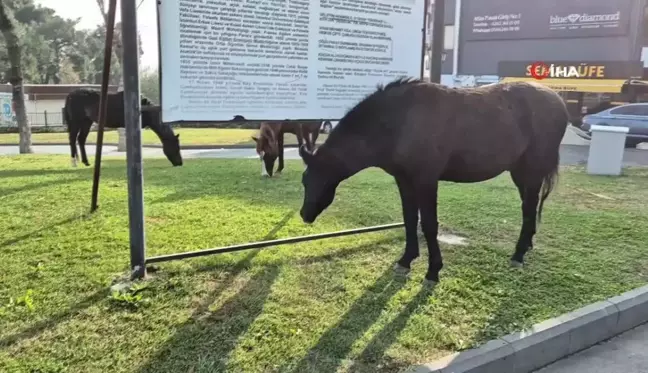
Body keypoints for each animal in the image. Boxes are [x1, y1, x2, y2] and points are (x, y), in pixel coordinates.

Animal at [298, 77, 568, 288]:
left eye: (315, 179)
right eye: (304, 181)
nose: (305, 214)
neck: (400, 121)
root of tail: (558, 100)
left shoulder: (426, 180)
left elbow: (428, 224)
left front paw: (432, 271)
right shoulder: (404, 180)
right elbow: (409, 219)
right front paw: (406, 260)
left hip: (530, 169)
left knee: (529, 206)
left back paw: (519, 254)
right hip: (520, 172)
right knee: (529, 206)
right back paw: (526, 245)